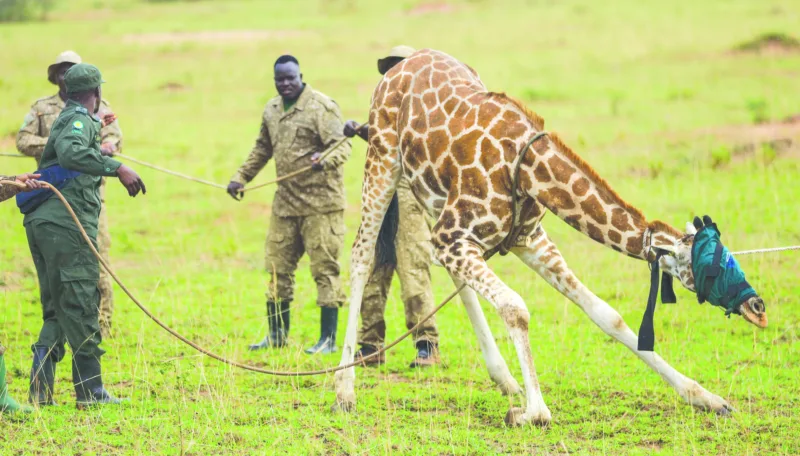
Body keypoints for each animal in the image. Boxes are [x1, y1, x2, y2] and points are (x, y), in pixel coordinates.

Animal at [333, 49, 768, 426]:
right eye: (712, 267)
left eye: (728, 253)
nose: (758, 308)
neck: (528, 168)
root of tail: (398, 64)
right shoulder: (455, 237)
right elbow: (516, 307)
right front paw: (533, 411)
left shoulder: (527, 240)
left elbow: (607, 314)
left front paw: (708, 399)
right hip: (383, 160)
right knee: (360, 256)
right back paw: (344, 388)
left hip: (430, 195)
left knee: (447, 271)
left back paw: (504, 378)